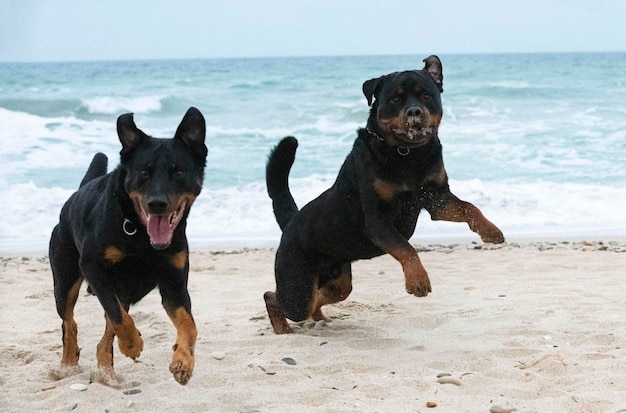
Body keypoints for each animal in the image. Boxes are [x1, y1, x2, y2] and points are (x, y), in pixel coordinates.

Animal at [50, 106, 207, 384]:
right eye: (143, 172)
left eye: (179, 172)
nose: (157, 203)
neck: (141, 235)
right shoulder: (94, 267)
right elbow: (118, 317)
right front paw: (132, 344)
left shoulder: (174, 284)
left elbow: (189, 324)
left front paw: (183, 362)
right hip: (65, 279)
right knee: (70, 322)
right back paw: (68, 365)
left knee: (104, 336)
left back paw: (107, 374)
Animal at [262, 55, 502, 332]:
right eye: (396, 99)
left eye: (426, 96)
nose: (414, 111)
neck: (408, 155)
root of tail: (291, 222)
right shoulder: (378, 220)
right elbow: (406, 248)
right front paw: (417, 281)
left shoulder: (437, 199)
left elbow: (469, 207)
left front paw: (491, 231)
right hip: (297, 285)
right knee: (274, 297)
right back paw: (283, 330)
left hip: (338, 280)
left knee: (319, 298)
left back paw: (321, 320)